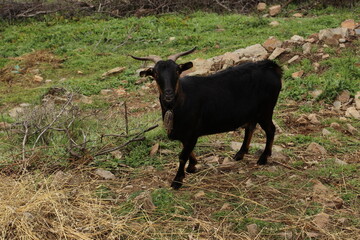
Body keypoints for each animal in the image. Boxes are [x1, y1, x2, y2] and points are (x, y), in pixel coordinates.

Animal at [131, 47, 282, 189]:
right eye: (155, 73)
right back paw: (240, 154)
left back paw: (263, 157)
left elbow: (182, 155)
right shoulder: (185, 133)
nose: (169, 94)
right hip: (254, 112)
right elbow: (187, 150)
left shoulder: (192, 132)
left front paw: (177, 180)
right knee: (250, 127)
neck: (181, 101)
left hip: (266, 110)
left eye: (177, 71)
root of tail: (271, 66)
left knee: (270, 130)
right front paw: (192, 166)